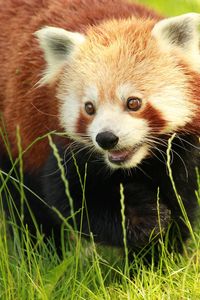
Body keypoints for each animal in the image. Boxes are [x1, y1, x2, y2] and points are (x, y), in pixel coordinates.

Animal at [0, 0, 199, 258]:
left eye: (133, 102)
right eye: (89, 107)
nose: (106, 138)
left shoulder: (182, 148)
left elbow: (179, 198)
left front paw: (158, 255)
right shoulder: (54, 141)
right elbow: (76, 201)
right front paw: (144, 219)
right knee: (25, 205)